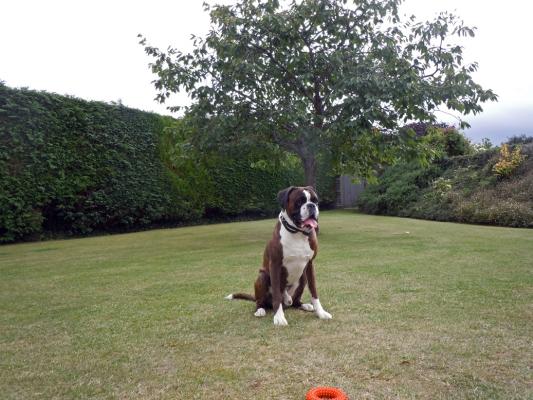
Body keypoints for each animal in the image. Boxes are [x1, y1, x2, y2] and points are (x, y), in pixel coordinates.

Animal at [225, 186, 332, 326]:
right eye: (299, 201)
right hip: (262, 276)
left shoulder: (310, 265)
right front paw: (279, 317)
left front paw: (321, 313)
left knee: (294, 301)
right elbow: (276, 294)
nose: (311, 206)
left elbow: (314, 292)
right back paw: (260, 310)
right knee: (261, 301)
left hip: (303, 277)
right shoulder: (275, 265)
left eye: (315, 201)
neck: (298, 233)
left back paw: (302, 305)